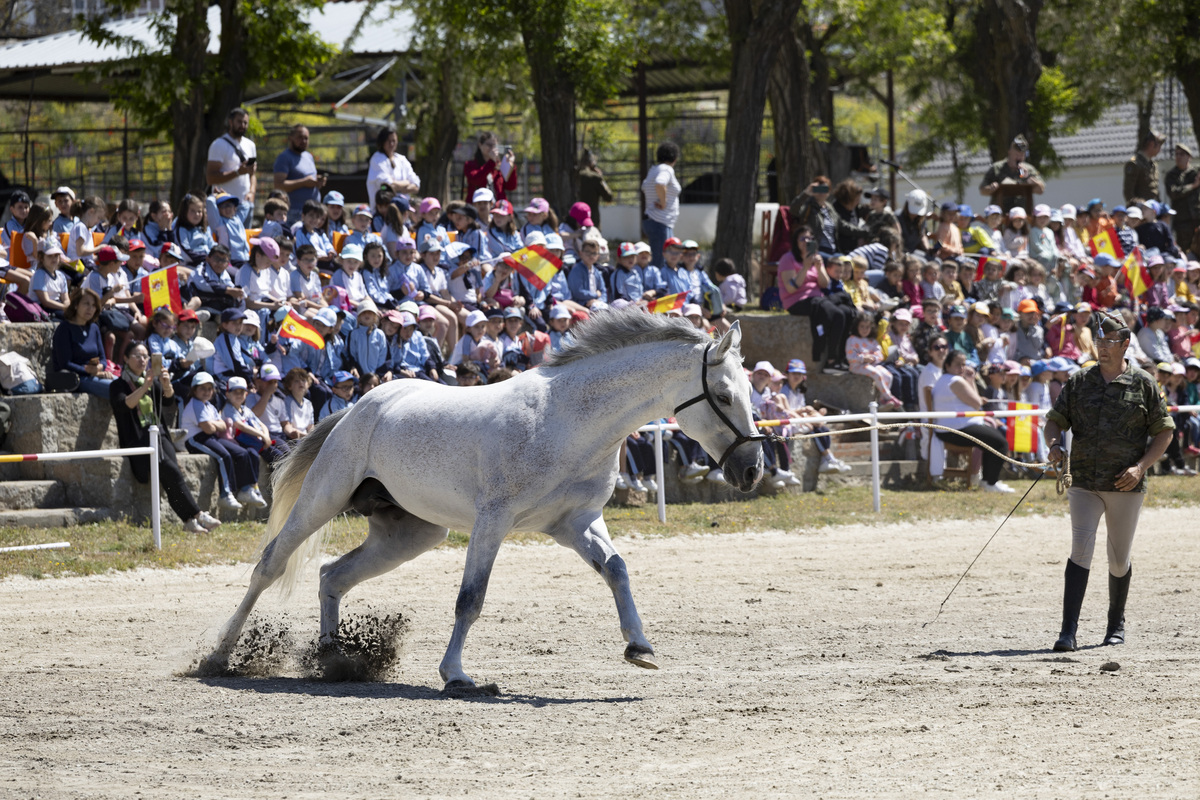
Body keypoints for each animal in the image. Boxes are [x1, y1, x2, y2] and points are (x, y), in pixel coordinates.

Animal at [202, 309, 763, 690]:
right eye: (725, 396)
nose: (752, 470)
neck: (570, 421)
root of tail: (361, 405)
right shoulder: (494, 522)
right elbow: (470, 599)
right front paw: (456, 675)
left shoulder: (575, 523)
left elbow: (617, 569)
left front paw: (639, 647)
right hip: (322, 500)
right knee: (270, 566)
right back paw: (218, 657)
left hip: (412, 534)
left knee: (331, 576)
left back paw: (334, 662)